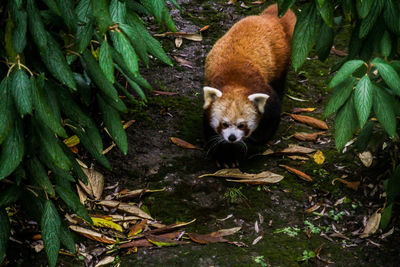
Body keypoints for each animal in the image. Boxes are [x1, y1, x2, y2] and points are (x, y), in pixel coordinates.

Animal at [203, 3, 294, 168]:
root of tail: (267, 19)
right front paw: (224, 156)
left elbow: (273, 115)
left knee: (279, 82)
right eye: (224, 124)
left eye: (242, 125)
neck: (235, 82)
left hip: (280, 61)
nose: (232, 137)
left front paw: (258, 139)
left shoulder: (264, 92)